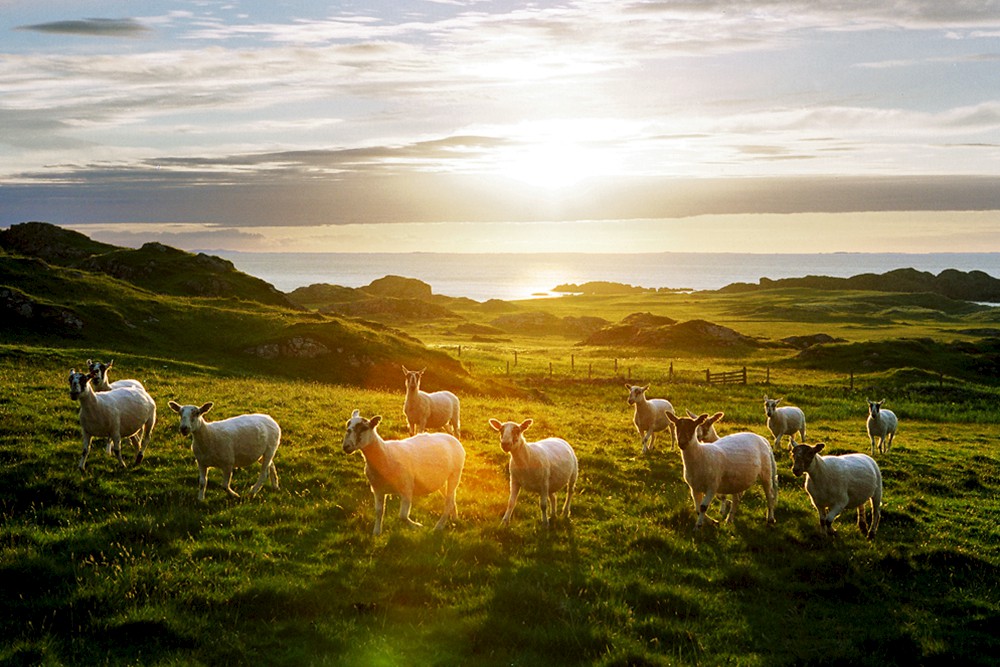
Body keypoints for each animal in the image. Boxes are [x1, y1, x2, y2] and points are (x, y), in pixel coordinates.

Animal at [344, 408, 464, 536]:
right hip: (439, 480)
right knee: (450, 499)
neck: (386, 454)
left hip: (455, 474)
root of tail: (452, 438)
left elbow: (402, 516)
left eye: (364, 428)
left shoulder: (407, 488)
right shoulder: (377, 489)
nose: (346, 446)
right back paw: (454, 519)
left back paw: (439, 527)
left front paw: (417, 526)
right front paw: (376, 532)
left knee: (448, 502)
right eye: (347, 425)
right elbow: (379, 511)